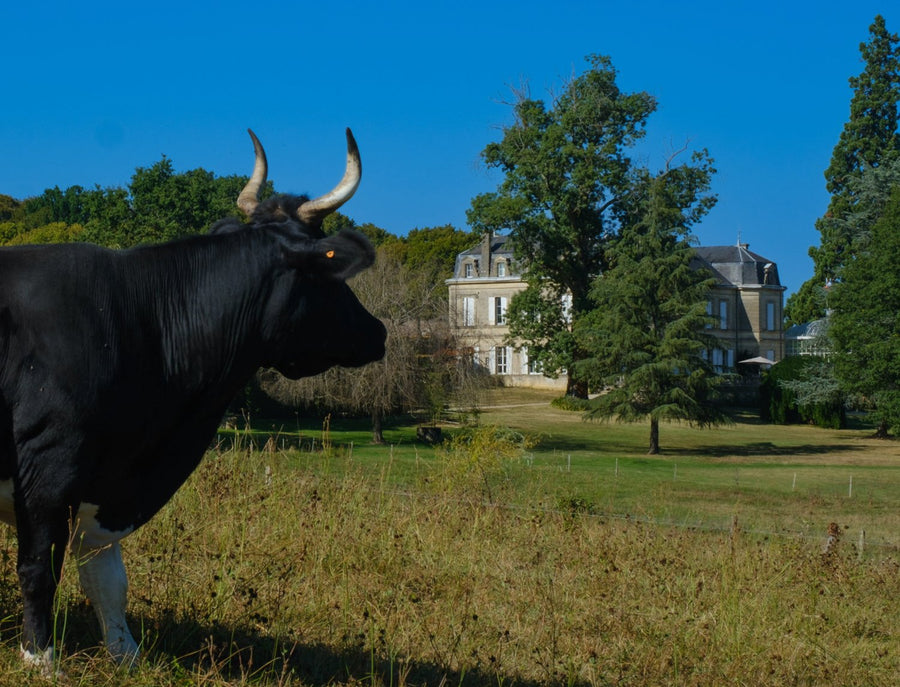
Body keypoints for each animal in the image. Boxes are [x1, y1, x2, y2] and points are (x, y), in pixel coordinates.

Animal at [0, 128, 387, 672]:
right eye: (328, 276)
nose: (380, 332)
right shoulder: (49, 465)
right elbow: (39, 568)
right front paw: (40, 658)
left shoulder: (104, 484)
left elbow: (107, 579)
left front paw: (126, 655)